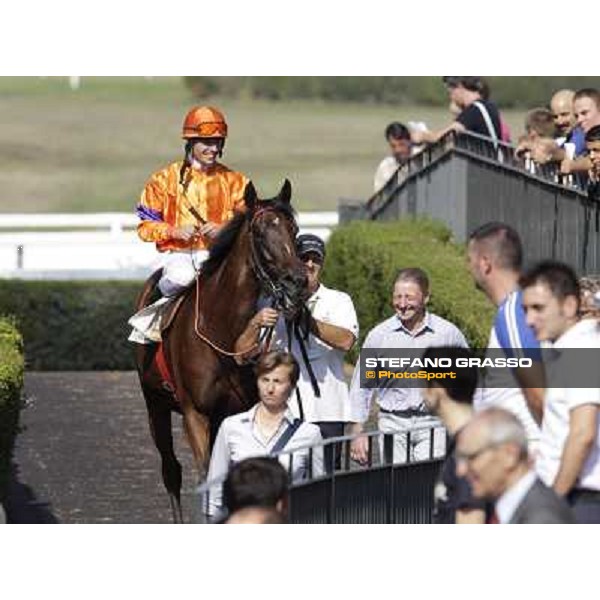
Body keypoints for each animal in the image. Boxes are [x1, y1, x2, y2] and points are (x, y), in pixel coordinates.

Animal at [134, 180, 308, 524]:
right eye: (260, 232)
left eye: (293, 229)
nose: (297, 281)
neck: (223, 332)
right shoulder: (194, 413)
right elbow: (204, 478)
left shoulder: (240, 410)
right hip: (155, 404)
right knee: (171, 469)